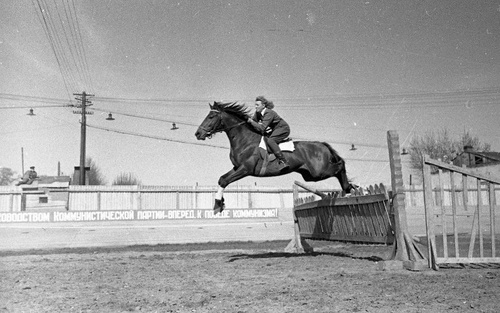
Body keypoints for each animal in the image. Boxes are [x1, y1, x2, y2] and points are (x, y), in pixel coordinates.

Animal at [194, 100, 356, 212]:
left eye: (211, 116)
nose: (198, 134)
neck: (244, 139)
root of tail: (322, 144)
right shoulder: (237, 167)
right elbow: (222, 179)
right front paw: (219, 204)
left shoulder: (245, 169)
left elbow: (224, 181)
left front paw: (217, 205)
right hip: (309, 175)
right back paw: (349, 189)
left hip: (319, 171)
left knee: (340, 165)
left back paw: (349, 189)